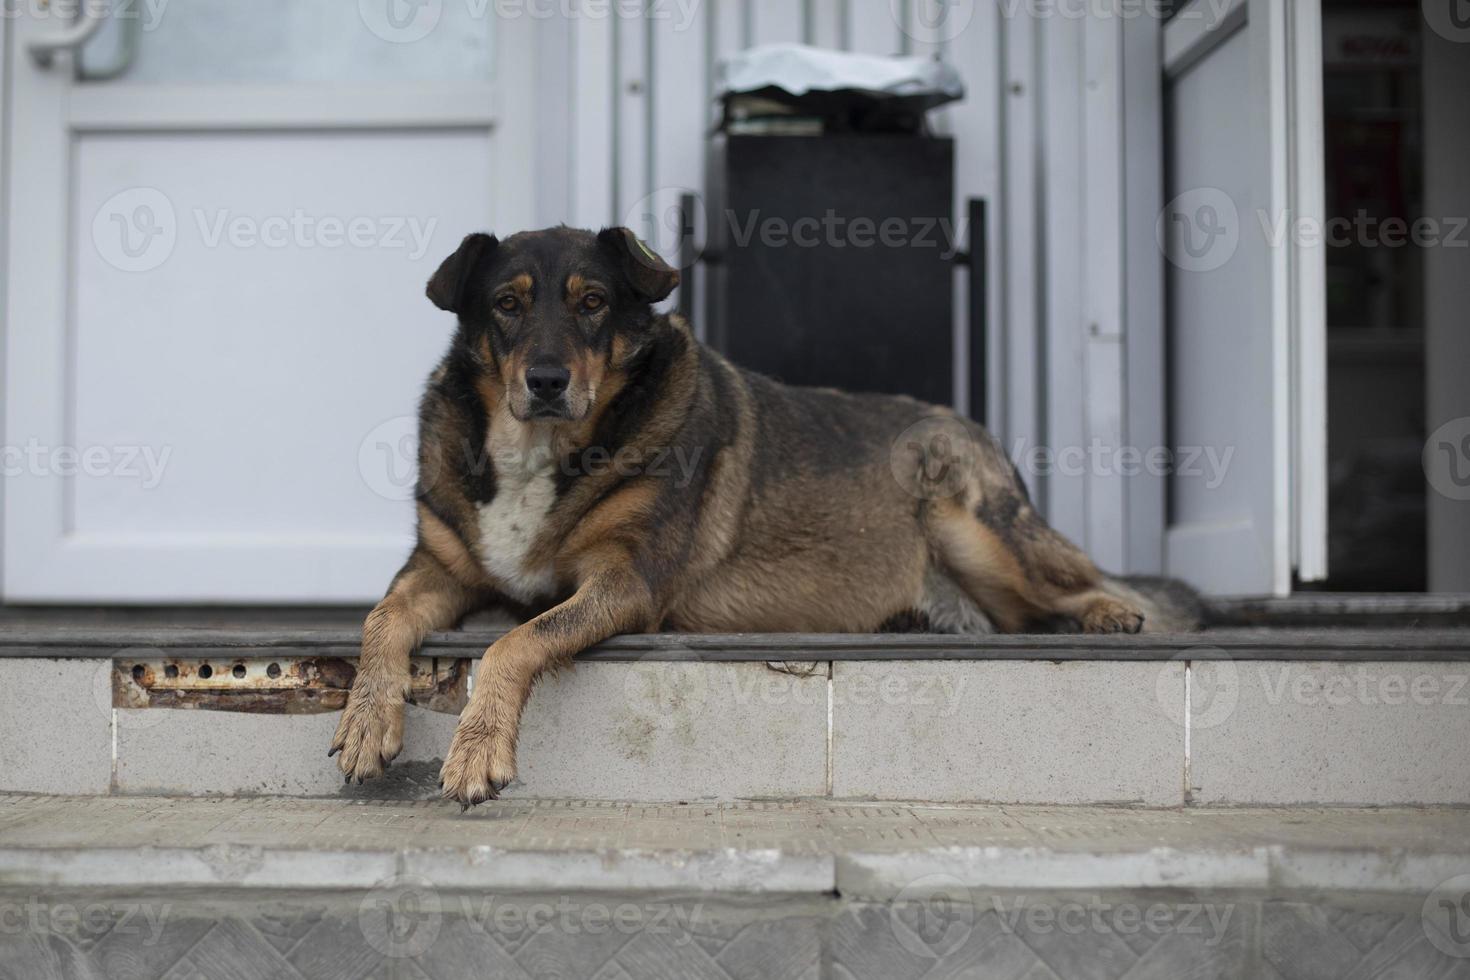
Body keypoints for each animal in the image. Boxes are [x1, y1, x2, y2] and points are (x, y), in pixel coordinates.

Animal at [327, 226, 1199, 811]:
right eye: (506, 305)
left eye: (594, 304)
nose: (545, 381)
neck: (541, 452)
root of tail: (966, 423)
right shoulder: (439, 568)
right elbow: (380, 619)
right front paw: (367, 719)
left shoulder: (627, 583)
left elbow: (516, 641)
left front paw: (477, 748)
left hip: (973, 522)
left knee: (1071, 586)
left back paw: (1110, 614)